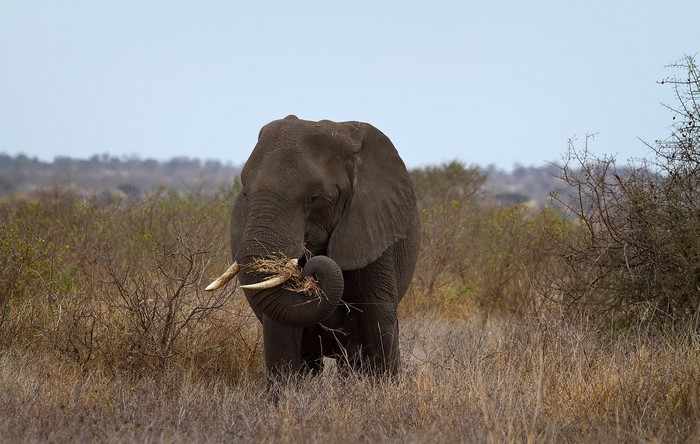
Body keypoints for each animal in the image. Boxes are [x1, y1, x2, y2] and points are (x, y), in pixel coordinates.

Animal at [207, 115, 420, 380]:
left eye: (315, 198)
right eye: (245, 193)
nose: (307, 272)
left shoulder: (374, 227)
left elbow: (379, 319)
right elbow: (281, 332)